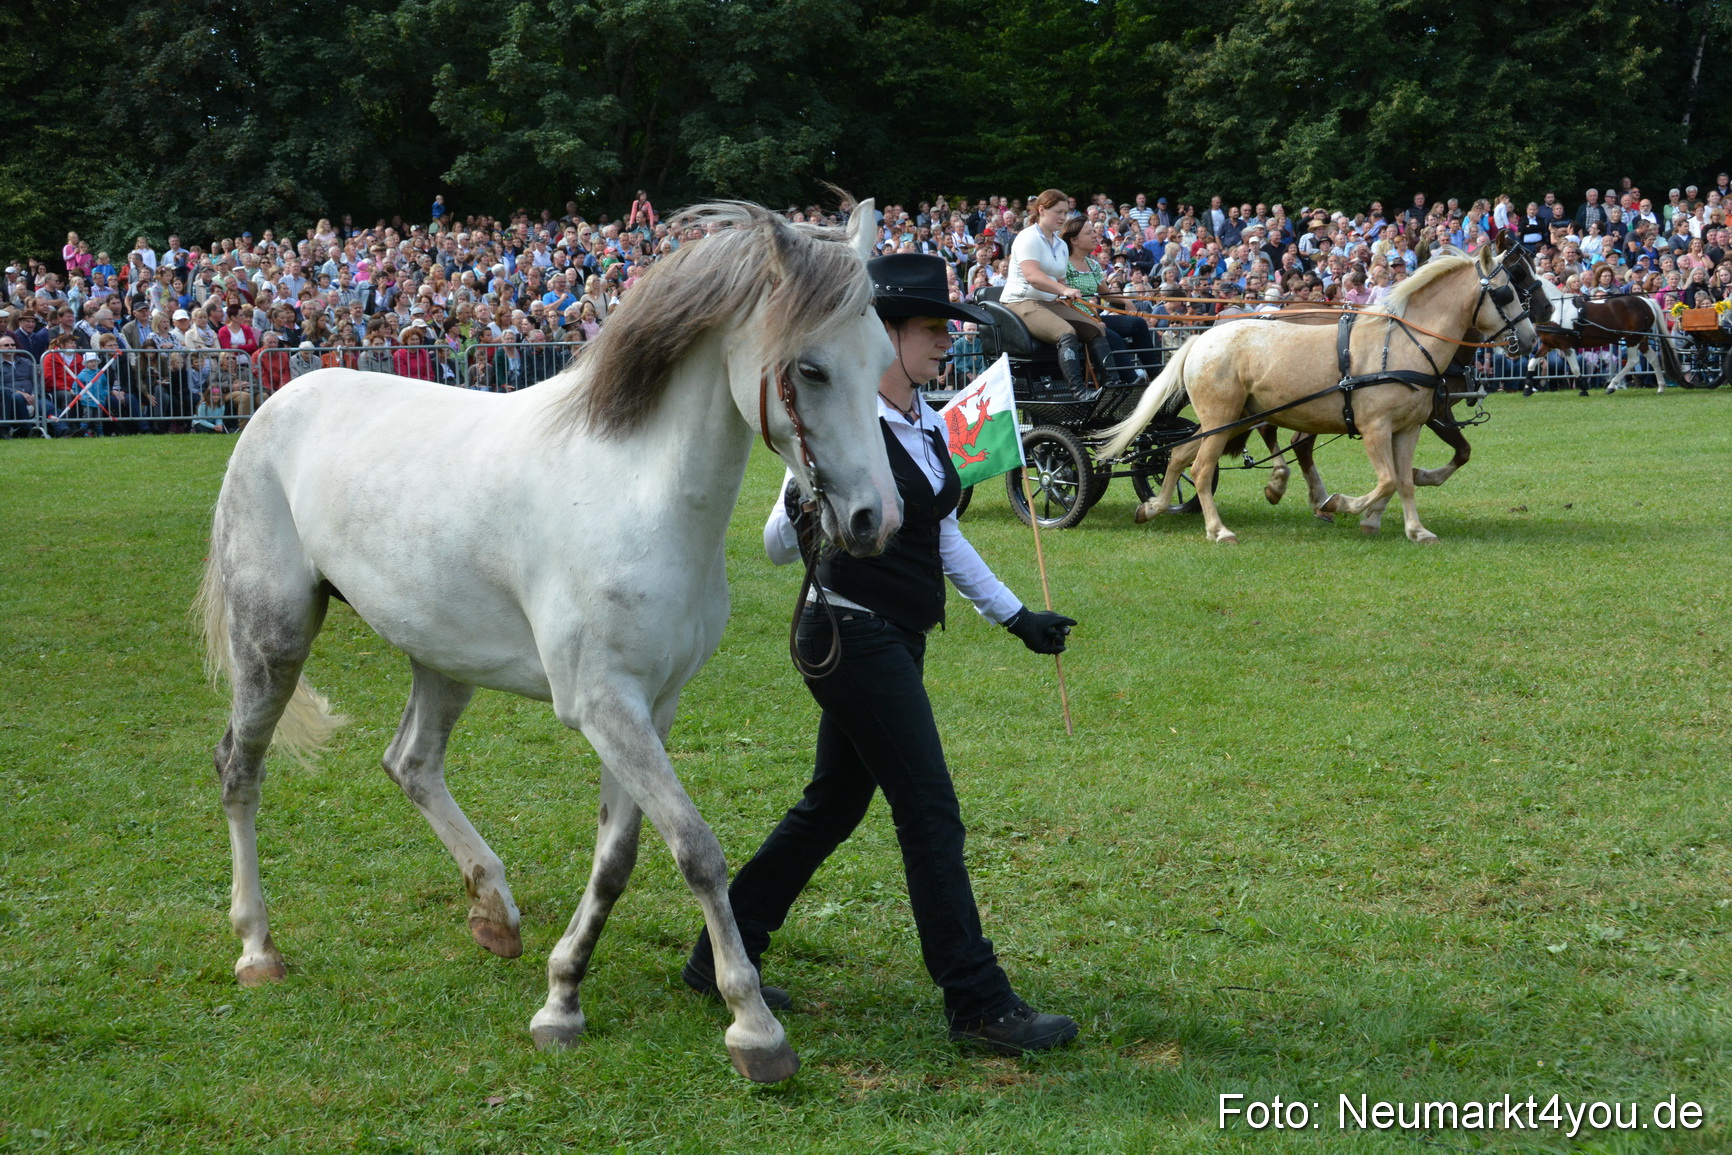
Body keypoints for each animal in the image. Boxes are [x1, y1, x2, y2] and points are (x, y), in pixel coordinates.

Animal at [195, 200, 900, 1084]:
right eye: (810, 369)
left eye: (882, 358)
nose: (877, 520)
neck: (638, 491)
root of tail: (278, 401)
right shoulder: (604, 705)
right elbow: (696, 847)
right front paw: (753, 1025)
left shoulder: (651, 707)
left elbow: (619, 855)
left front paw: (562, 995)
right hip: (274, 641)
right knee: (240, 769)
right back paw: (257, 947)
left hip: (444, 658)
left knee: (410, 762)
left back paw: (493, 910)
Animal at [1098, 245, 1536, 544]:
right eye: (1506, 293)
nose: (1530, 339)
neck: (1402, 345)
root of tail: (1202, 339)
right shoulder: (1375, 428)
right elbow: (1387, 481)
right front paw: (1340, 504)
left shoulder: (1408, 429)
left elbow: (1405, 482)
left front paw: (1416, 529)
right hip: (1221, 419)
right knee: (1203, 469)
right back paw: (1218, 529)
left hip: (1225, 421)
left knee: (1176, 456)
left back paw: (1153, 507)